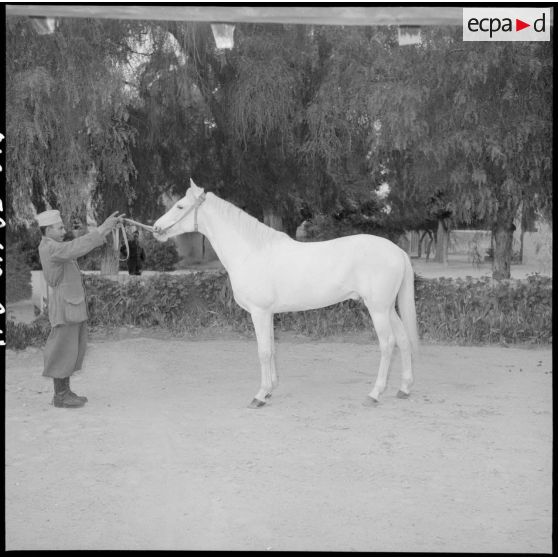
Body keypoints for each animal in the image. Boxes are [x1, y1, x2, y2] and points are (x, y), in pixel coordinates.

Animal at [154, 182, 420, 410]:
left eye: (180, 206)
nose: (156, 229)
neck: (251, 252)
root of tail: (398, 251)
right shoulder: (269, 314)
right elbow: (271, 348)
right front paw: (270, 389)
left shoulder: (259, 312)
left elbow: (263, 351)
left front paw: (260, 396)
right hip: (388, 308)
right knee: (403, 340)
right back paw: (404, 389)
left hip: (378, 309)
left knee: (388, 344)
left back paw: (374, 394)